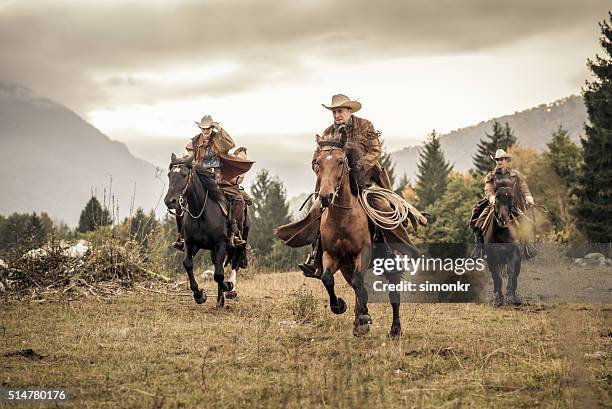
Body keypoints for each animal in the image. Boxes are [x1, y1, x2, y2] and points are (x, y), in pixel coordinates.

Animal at [165, 154, 249, 306]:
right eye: (169, 175)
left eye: (184, 174)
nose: (170, 201)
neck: (201, 211)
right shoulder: (191, 244)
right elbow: (188, 264)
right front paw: (199, 295)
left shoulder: (220, 244)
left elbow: (219, 274)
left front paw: (228, 286)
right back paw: (220, 300)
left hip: (241, 239)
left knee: (235, 261)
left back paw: (231, 289)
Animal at [314, 139, 404, 336]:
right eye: (317, 162)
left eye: (341, 161)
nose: (325, 197)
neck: (342, 218)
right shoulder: (331, 256)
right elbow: (327, 278)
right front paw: (340, 307)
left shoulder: (362, 254)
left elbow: (359, 283)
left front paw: (363, 316)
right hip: (346, 268)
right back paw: (359, 322)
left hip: (388, 265)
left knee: (393, 294)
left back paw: (395, 329)